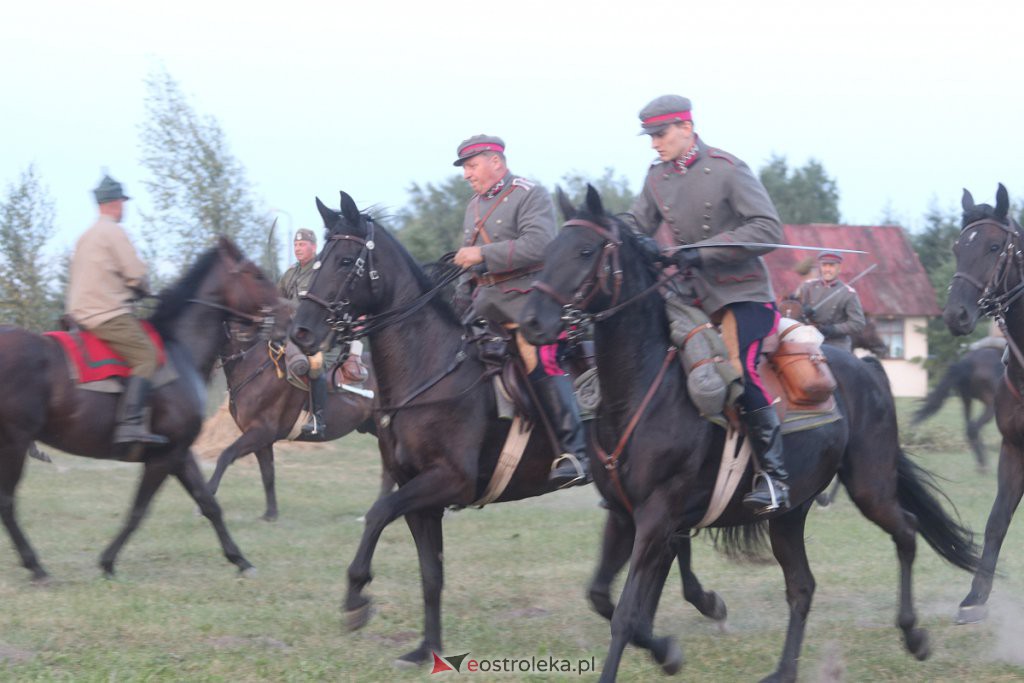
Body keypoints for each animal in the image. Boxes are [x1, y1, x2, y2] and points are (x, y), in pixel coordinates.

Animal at [0, 240, 290, 581]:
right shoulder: (162, 458)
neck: (180, 349)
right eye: (256, 275)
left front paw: (240, 559)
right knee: (7, 502)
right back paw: (35, 565)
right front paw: (108, 561)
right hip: (14, 443)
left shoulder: (179, 453)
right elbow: (139, 510)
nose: (289, 315)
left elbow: (209, 504)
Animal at [520, 187, 983, 683]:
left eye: (585, 251)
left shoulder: (657, 518)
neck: (643, 391)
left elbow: (627, 615)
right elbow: (606, 599)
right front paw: (669, 650)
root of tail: (869, 371)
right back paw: (783, 671)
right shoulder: (626, 517)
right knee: (802, 586)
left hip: (869, 487)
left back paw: (914, 635)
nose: (531, 322)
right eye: (549, 250)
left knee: (907, 532)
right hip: (788, 515)